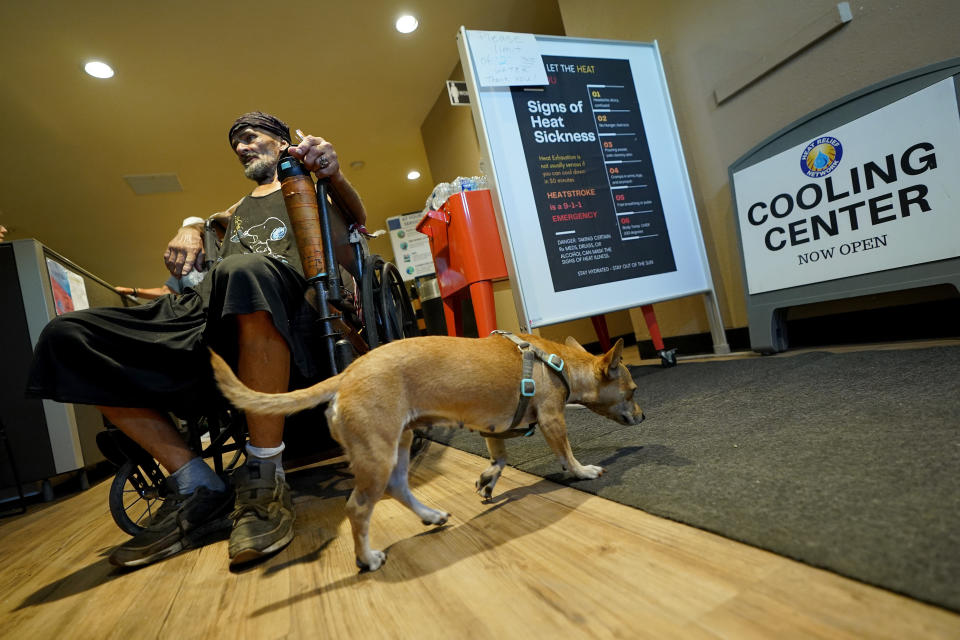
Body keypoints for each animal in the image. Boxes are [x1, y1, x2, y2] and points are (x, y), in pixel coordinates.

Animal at [210, 332, 644, 572]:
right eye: (633, 390)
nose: (643, 415)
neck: (561, 362)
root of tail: (346, 375)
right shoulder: (553, 420)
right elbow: (566, 455)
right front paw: (583, 471)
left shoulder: (492, 428)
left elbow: (499, 458)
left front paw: (488, 481)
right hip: (378, 455)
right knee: (358, 508)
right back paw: (367, 558)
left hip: (398, 445)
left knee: (400, 488)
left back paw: (431, 516)